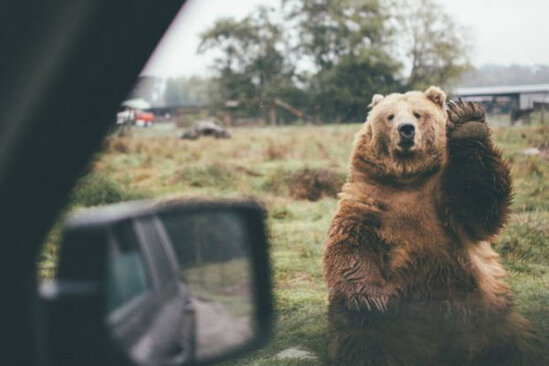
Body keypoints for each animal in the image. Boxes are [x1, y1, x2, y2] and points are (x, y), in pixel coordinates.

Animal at [324, 87, 544, 364]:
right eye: (390, 116)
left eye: (418, 114)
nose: (406, 130)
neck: (407, 178)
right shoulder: (369, 200)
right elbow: (351, 243)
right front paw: (368, 299)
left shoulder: (446, 201)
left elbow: (481, 204)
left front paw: (468, 122)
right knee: (359, 336)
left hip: (492, 315)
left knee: (517, 344)